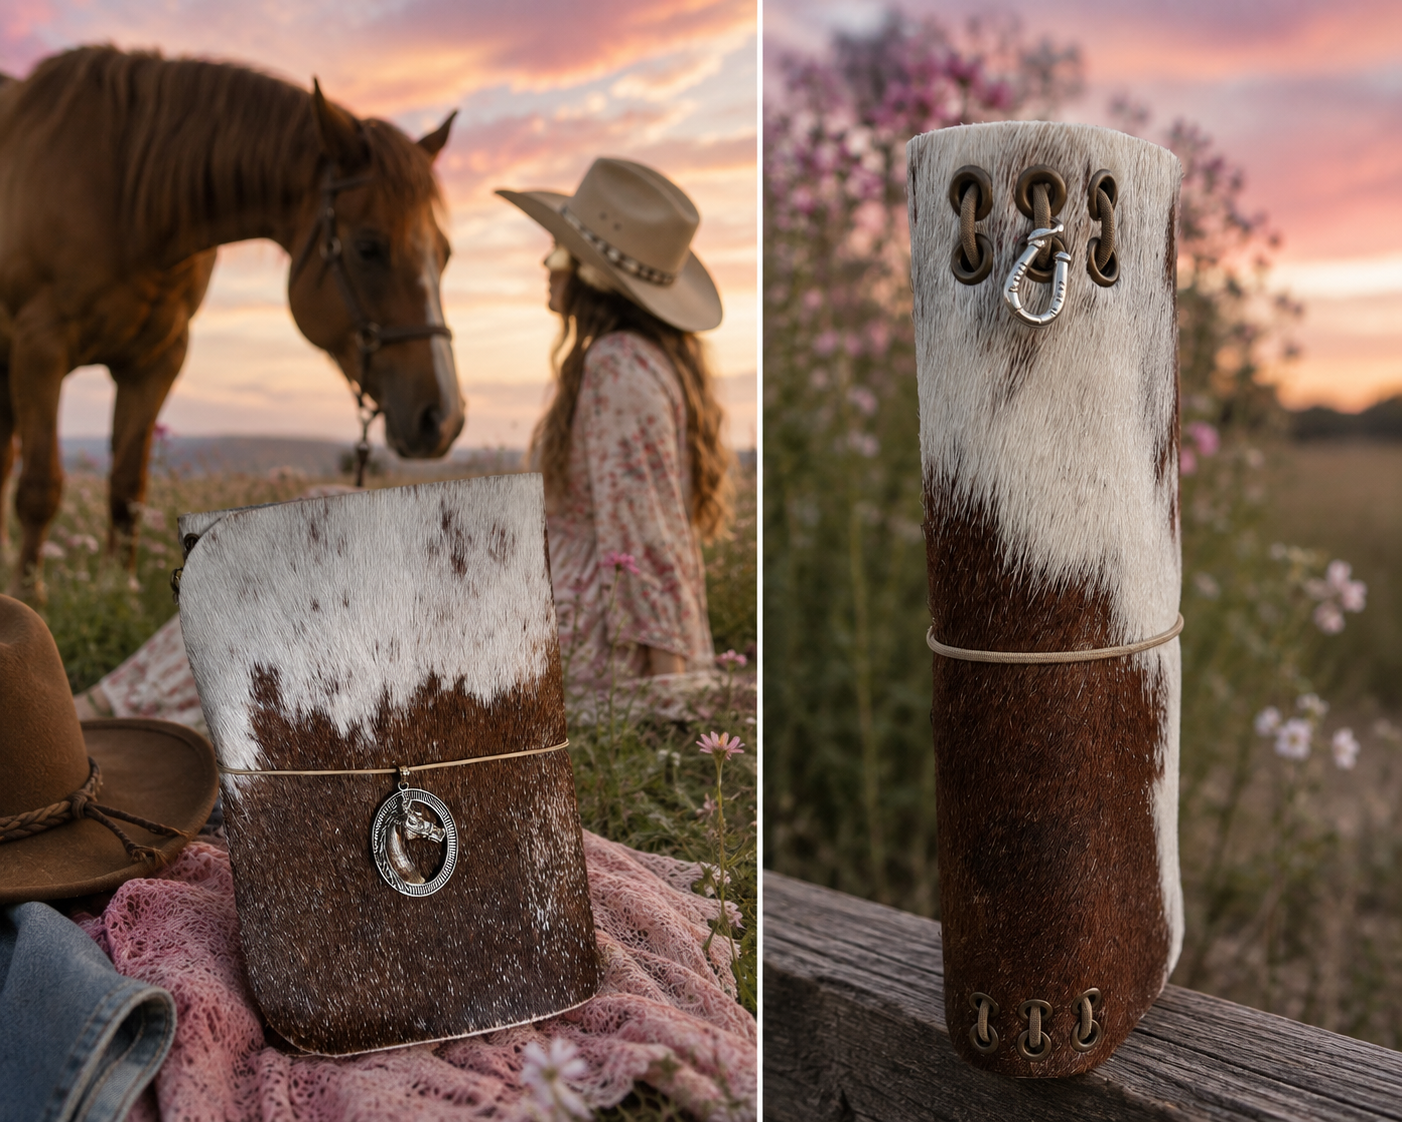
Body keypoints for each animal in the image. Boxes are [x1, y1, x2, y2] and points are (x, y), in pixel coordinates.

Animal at [0, 46, 465, 597]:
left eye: (444, 254)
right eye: (368, 247)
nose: (444, 419)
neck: (126, 197)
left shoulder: (156, 360)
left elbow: (127, 491)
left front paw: (120, 593)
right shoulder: (41, 347)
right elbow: (40, 489)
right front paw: (29, 597)